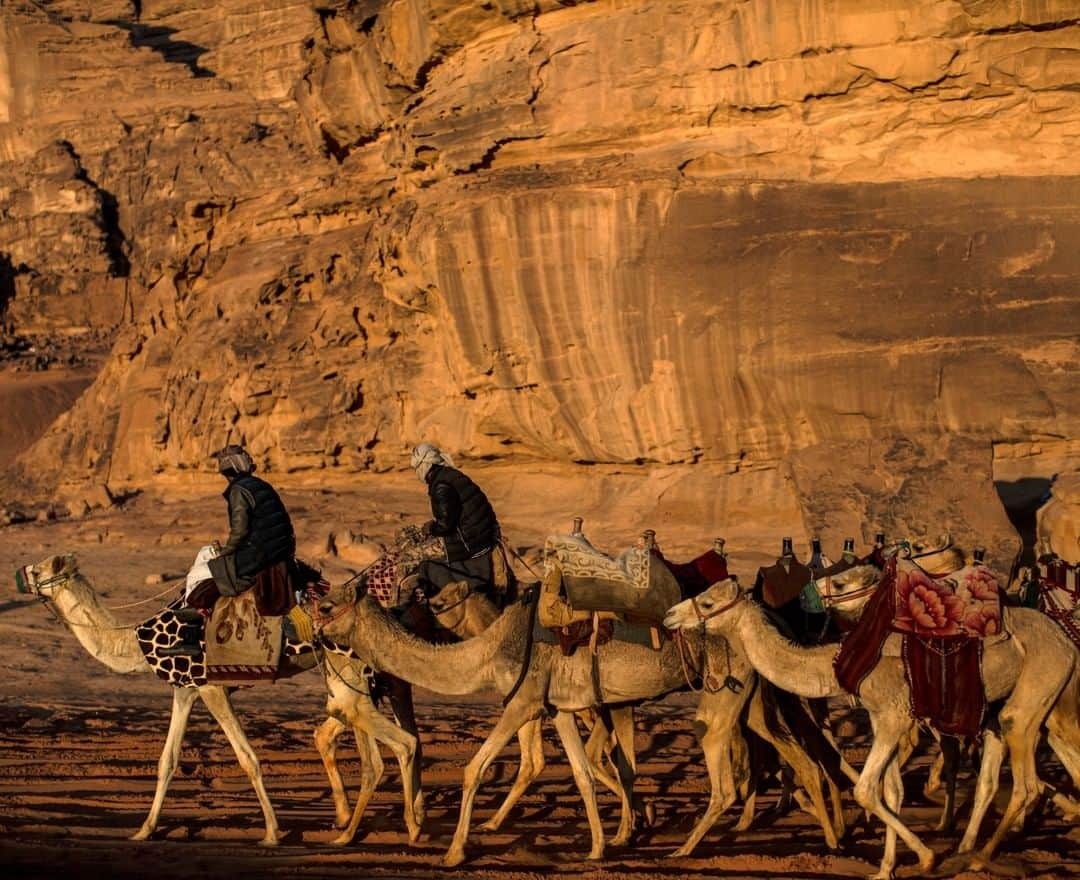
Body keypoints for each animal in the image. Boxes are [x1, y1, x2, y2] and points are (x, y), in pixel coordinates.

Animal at [665, 578, 1080, 880]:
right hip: (1021, 706)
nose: (670, 615)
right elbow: (891, 793)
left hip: (1038, 684)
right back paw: (970, 849)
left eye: (707, 603)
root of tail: (1066, 641)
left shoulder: (894, 716)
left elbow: (866, 790)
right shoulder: (884, 719)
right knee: (1011, 770)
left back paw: (980, 857)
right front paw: (885, 869)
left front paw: (926, 858)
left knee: (1026, 779)